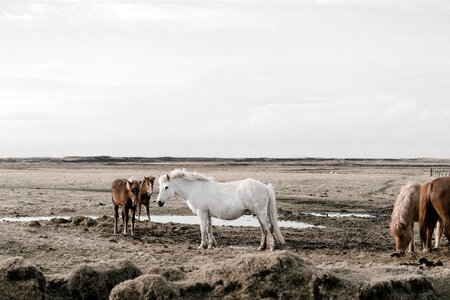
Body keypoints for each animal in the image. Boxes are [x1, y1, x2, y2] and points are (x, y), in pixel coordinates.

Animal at [156, 169, 286, 251]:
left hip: (261, 214)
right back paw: (261, 247)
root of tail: (265, 187)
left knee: (269, 228)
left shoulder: (201, 213)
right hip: (259, 215)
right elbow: (209, 229)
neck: (195, 189)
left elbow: (203, 230)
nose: (158, 202)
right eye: (160, 187)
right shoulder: (207, 214)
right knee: (264, 230)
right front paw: (210, 245)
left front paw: (202, 246)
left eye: (166, 187)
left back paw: (271, 247)